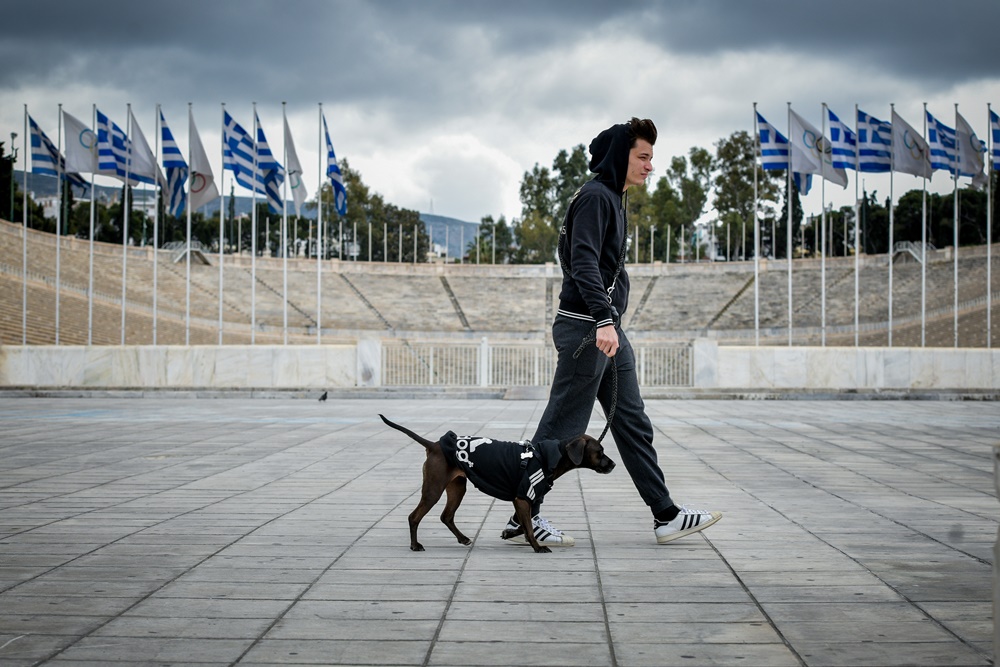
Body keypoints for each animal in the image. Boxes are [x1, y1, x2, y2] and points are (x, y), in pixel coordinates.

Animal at [380, 418, 616, 552]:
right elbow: (528, 527)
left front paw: (510, 534)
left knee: (446, 516)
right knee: (414, 517)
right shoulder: (523, 497)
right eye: (600, 452)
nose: (613, 464)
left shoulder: (521, 499)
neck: (548, 456)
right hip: (434, 490)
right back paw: (415, 545)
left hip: (457, 488)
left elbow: (524, 524)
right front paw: (537, 547)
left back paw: (463, 538)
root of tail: (434, 445)